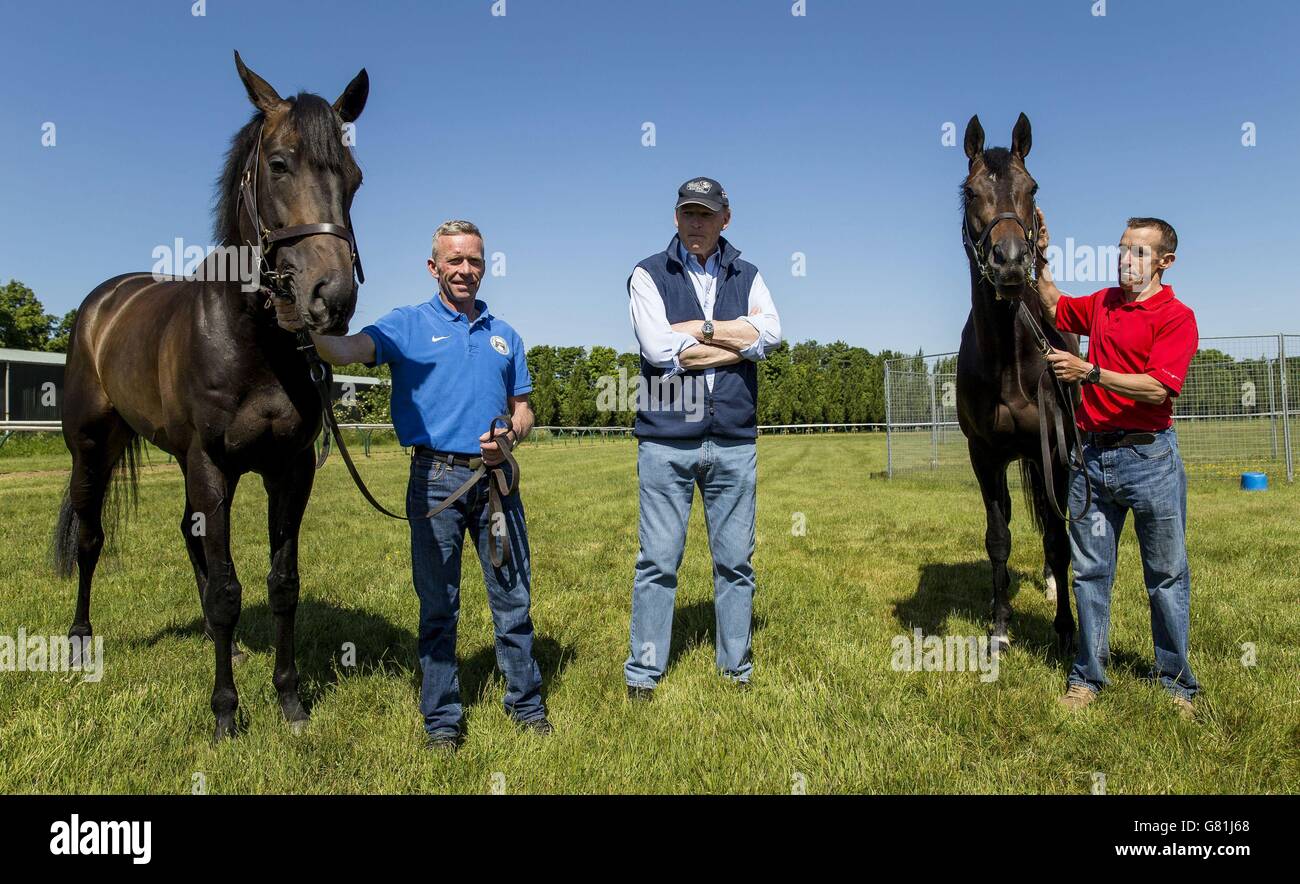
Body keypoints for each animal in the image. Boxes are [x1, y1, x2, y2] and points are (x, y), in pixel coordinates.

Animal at [53, 50, 369, 738]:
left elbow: (281, 584)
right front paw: (226, 711)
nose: (331, 299)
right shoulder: (210, 464)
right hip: (91, 446)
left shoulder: (289, 470)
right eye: (278, 164)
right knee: (90, 538)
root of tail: (102, 304)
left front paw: (289, 700)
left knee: (187, 533)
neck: (252, 339)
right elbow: (228, 591)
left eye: (355, 177)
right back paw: (81, 641)